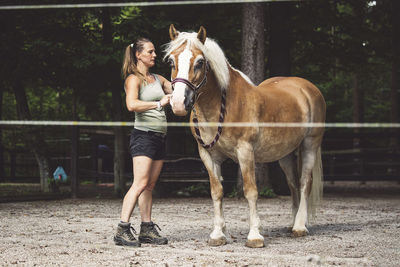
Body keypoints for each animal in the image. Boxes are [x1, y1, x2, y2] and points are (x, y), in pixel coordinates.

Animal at [164, 25, 326, 249]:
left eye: (200, 62)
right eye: (171, 61)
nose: (179, 103)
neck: (221, 107)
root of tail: (307, 88)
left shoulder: (245, 152)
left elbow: (251, 191)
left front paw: (255, 236)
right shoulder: (208, 155)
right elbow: (216, 191)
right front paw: (218, 234)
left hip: (310, 145)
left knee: (304, 182)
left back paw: (300, 227)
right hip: (284, 154)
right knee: (293, 183)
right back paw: (293, 223)